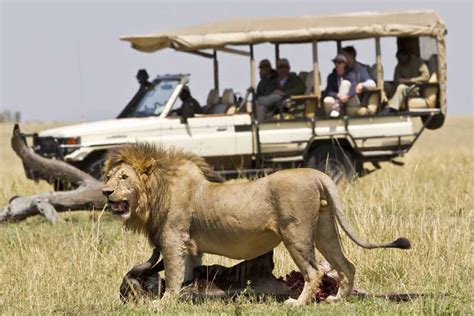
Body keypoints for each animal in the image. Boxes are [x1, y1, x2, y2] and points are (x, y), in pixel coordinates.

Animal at [103, 144, 412, 306]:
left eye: (123, 177)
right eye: (108, 177)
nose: (105, 192)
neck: (156, 191)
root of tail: (316, 174)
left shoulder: (172, 239)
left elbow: (173, 274)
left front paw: (164, 302)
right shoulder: (190, 247)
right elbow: (187, 273)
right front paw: (189, 294)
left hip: (295, 234)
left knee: (314, 272)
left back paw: (298, 304)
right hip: (325, 231)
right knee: (347, 265)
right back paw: (337, 299)